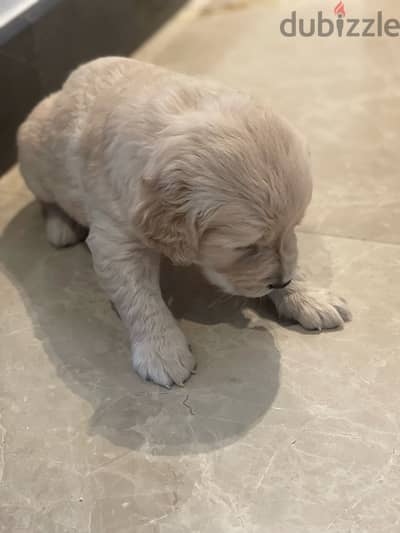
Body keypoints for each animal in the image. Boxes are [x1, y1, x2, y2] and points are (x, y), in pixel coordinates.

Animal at [17, 57, 352, 386]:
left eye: (295, 226)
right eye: (244, 247)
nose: (280, 282)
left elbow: (293, 259)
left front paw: (309, 297)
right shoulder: (116, 240)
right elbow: (139, 298)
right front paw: (162, 352)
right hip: (33, 153)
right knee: (47, 200)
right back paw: (60, 227)